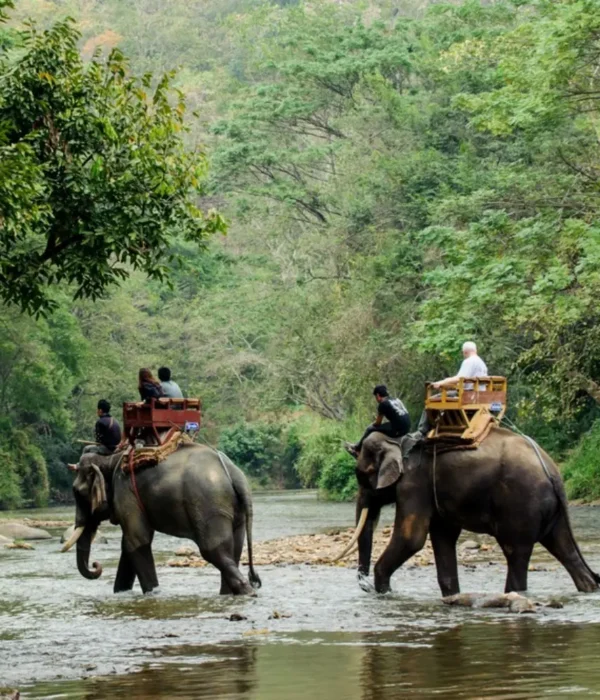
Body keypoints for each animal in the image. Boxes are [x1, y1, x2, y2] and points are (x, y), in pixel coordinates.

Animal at [62, 444, 261, 595]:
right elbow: (128, 545)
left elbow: (137, 541)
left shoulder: (126, 493)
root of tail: (235, 474)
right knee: (233, 550)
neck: (111, 458)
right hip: (233, 510)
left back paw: (248, 592)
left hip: (209, 505)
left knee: (214, 551)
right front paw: (121, 592)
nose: (96, 565)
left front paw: (153, 593)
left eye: (77, 492)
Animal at [340, 427, 599, 596]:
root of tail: (553, 472)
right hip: (552, 511)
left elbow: (411, 538)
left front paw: (384, 592)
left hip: (521, 505)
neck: (396, 440)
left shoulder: (414, 485)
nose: (365, 586)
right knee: (563, 547)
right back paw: (588, 588)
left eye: (362, 476)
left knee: (515, 551)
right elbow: (442, 536)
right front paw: (452, 596)